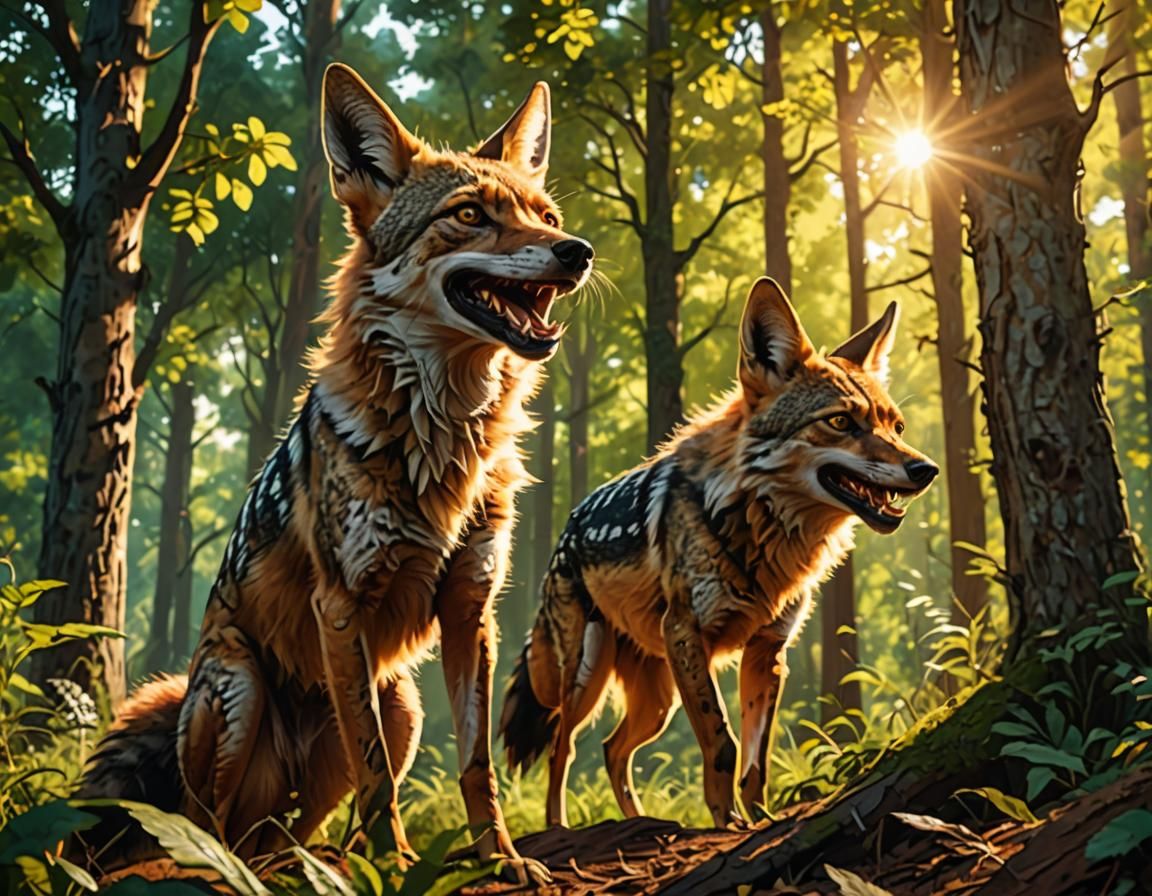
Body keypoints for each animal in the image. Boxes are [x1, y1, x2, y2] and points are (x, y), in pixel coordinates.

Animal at [74, 63, 593, 884]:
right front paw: (399, 866)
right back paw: (235, 865)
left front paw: (500, 858)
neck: (442, 434)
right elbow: (377, 773)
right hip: (241, 691)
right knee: (201, 825)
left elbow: (474, 765)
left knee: (284, 832)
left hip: (401, 699)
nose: (578, 251)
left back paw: (307, 860)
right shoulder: (342, 608)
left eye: (543, 215)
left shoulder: (471, 611)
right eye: (471, 215)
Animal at [500, 277, 938, 829]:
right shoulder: (689, 636)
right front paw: (727, 822)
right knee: (563, 749)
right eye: (840, 422)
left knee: (611, 748)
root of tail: (565, 531)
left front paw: (760, 819)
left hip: (657, 702)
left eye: (894, 426)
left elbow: (756, 760)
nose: (926, 470)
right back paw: (558, 828)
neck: (764, 532)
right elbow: (722, 742)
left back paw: (642, 821)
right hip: (586, 677)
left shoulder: (768, 650)